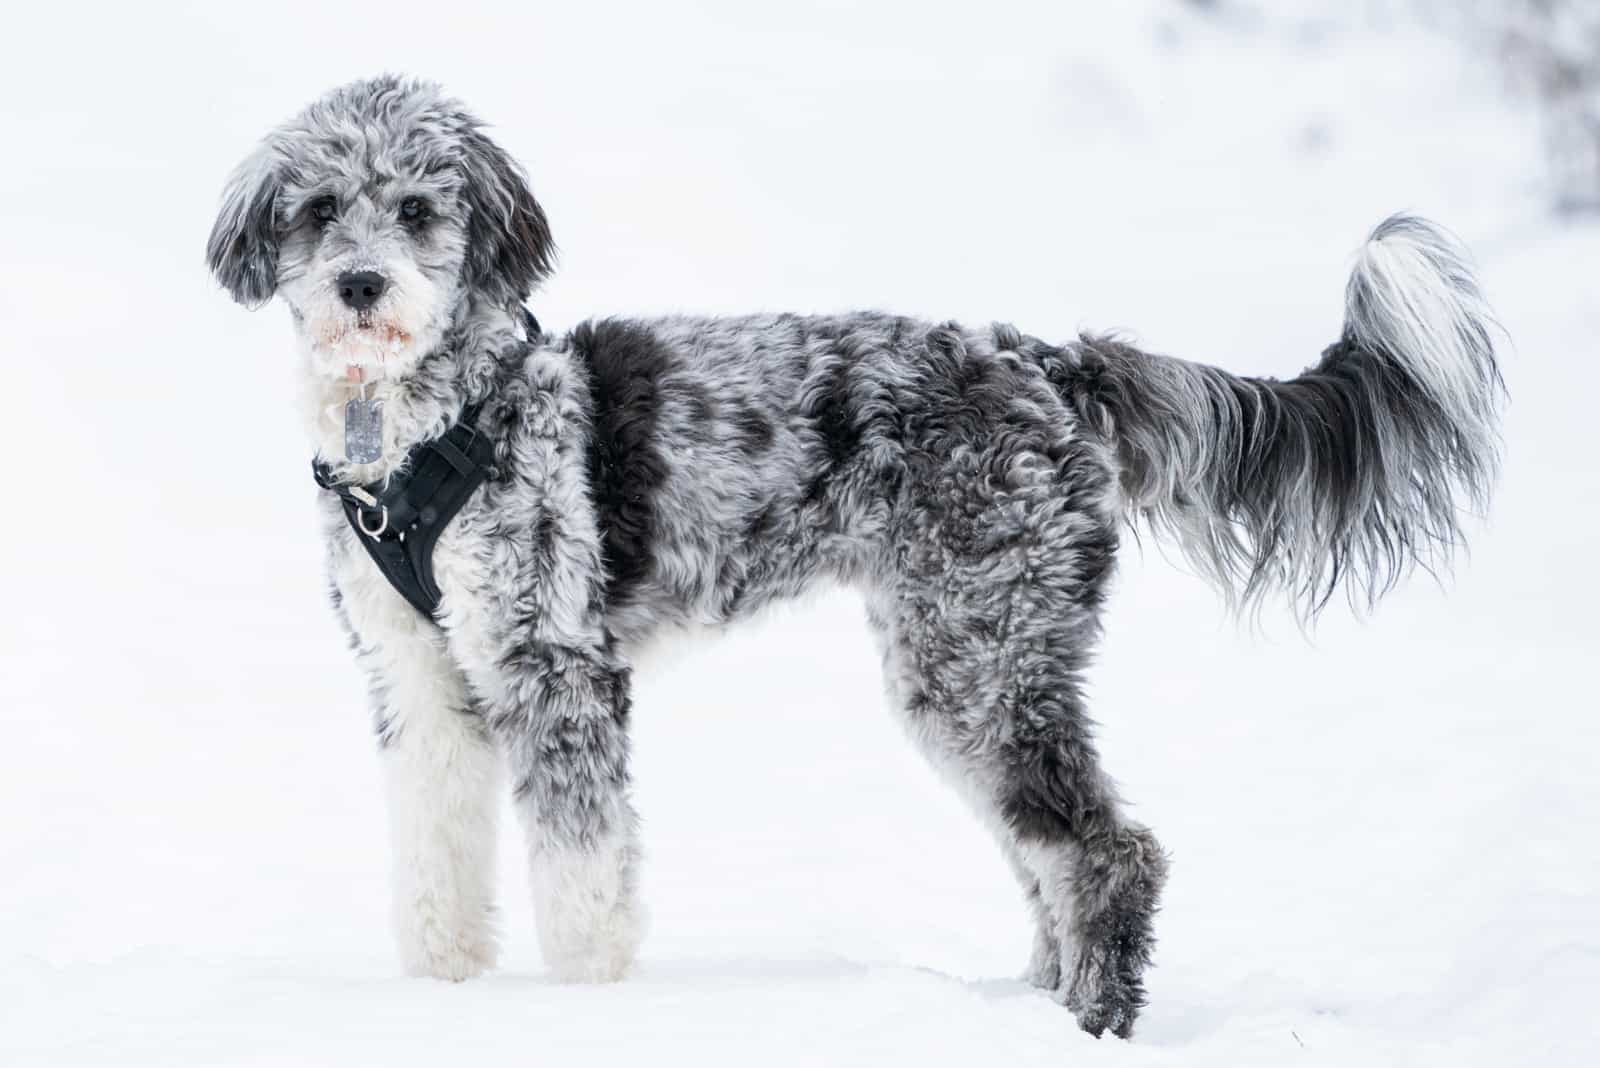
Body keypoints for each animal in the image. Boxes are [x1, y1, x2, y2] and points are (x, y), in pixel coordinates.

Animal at [206, 73, 1504, 1036]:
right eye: (318, 210)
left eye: (419, 209)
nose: (360, 282)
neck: (434, 425)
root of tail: (1048, 364)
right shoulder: (422, 680)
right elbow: (435, 851)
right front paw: (443, 990)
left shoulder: (555, 669)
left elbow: (583, 877)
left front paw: (586, 1012)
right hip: (975, 654)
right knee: (1050, 853)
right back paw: (1025, 1009)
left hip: (976, 659)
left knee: (1106, 851)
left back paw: (1089, 1021)